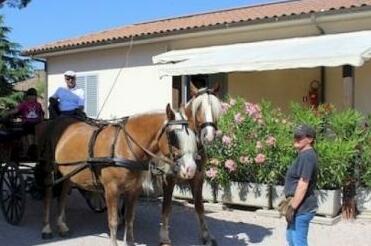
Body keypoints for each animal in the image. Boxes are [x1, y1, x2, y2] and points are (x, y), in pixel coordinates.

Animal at [38, 104, 199, 246]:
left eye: (192, 134)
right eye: (173, 135)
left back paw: (62, 225)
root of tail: (58, 120)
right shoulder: (111, 190)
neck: (124, 146)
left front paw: (131, 242)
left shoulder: (134, 190)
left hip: (68, 173)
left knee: (63, 195)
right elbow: (113, 221)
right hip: (49, 168)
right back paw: (46, 228)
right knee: (48, 194)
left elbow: (129, 218)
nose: (190, 169)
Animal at [159, 83, 222, 245]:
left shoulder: (198, 176)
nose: (209, 135)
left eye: (215, 109)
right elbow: (166, 207)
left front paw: (206, 235)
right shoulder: (169, 178)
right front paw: (164, 236)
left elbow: (199, 206)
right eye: (199, 108)